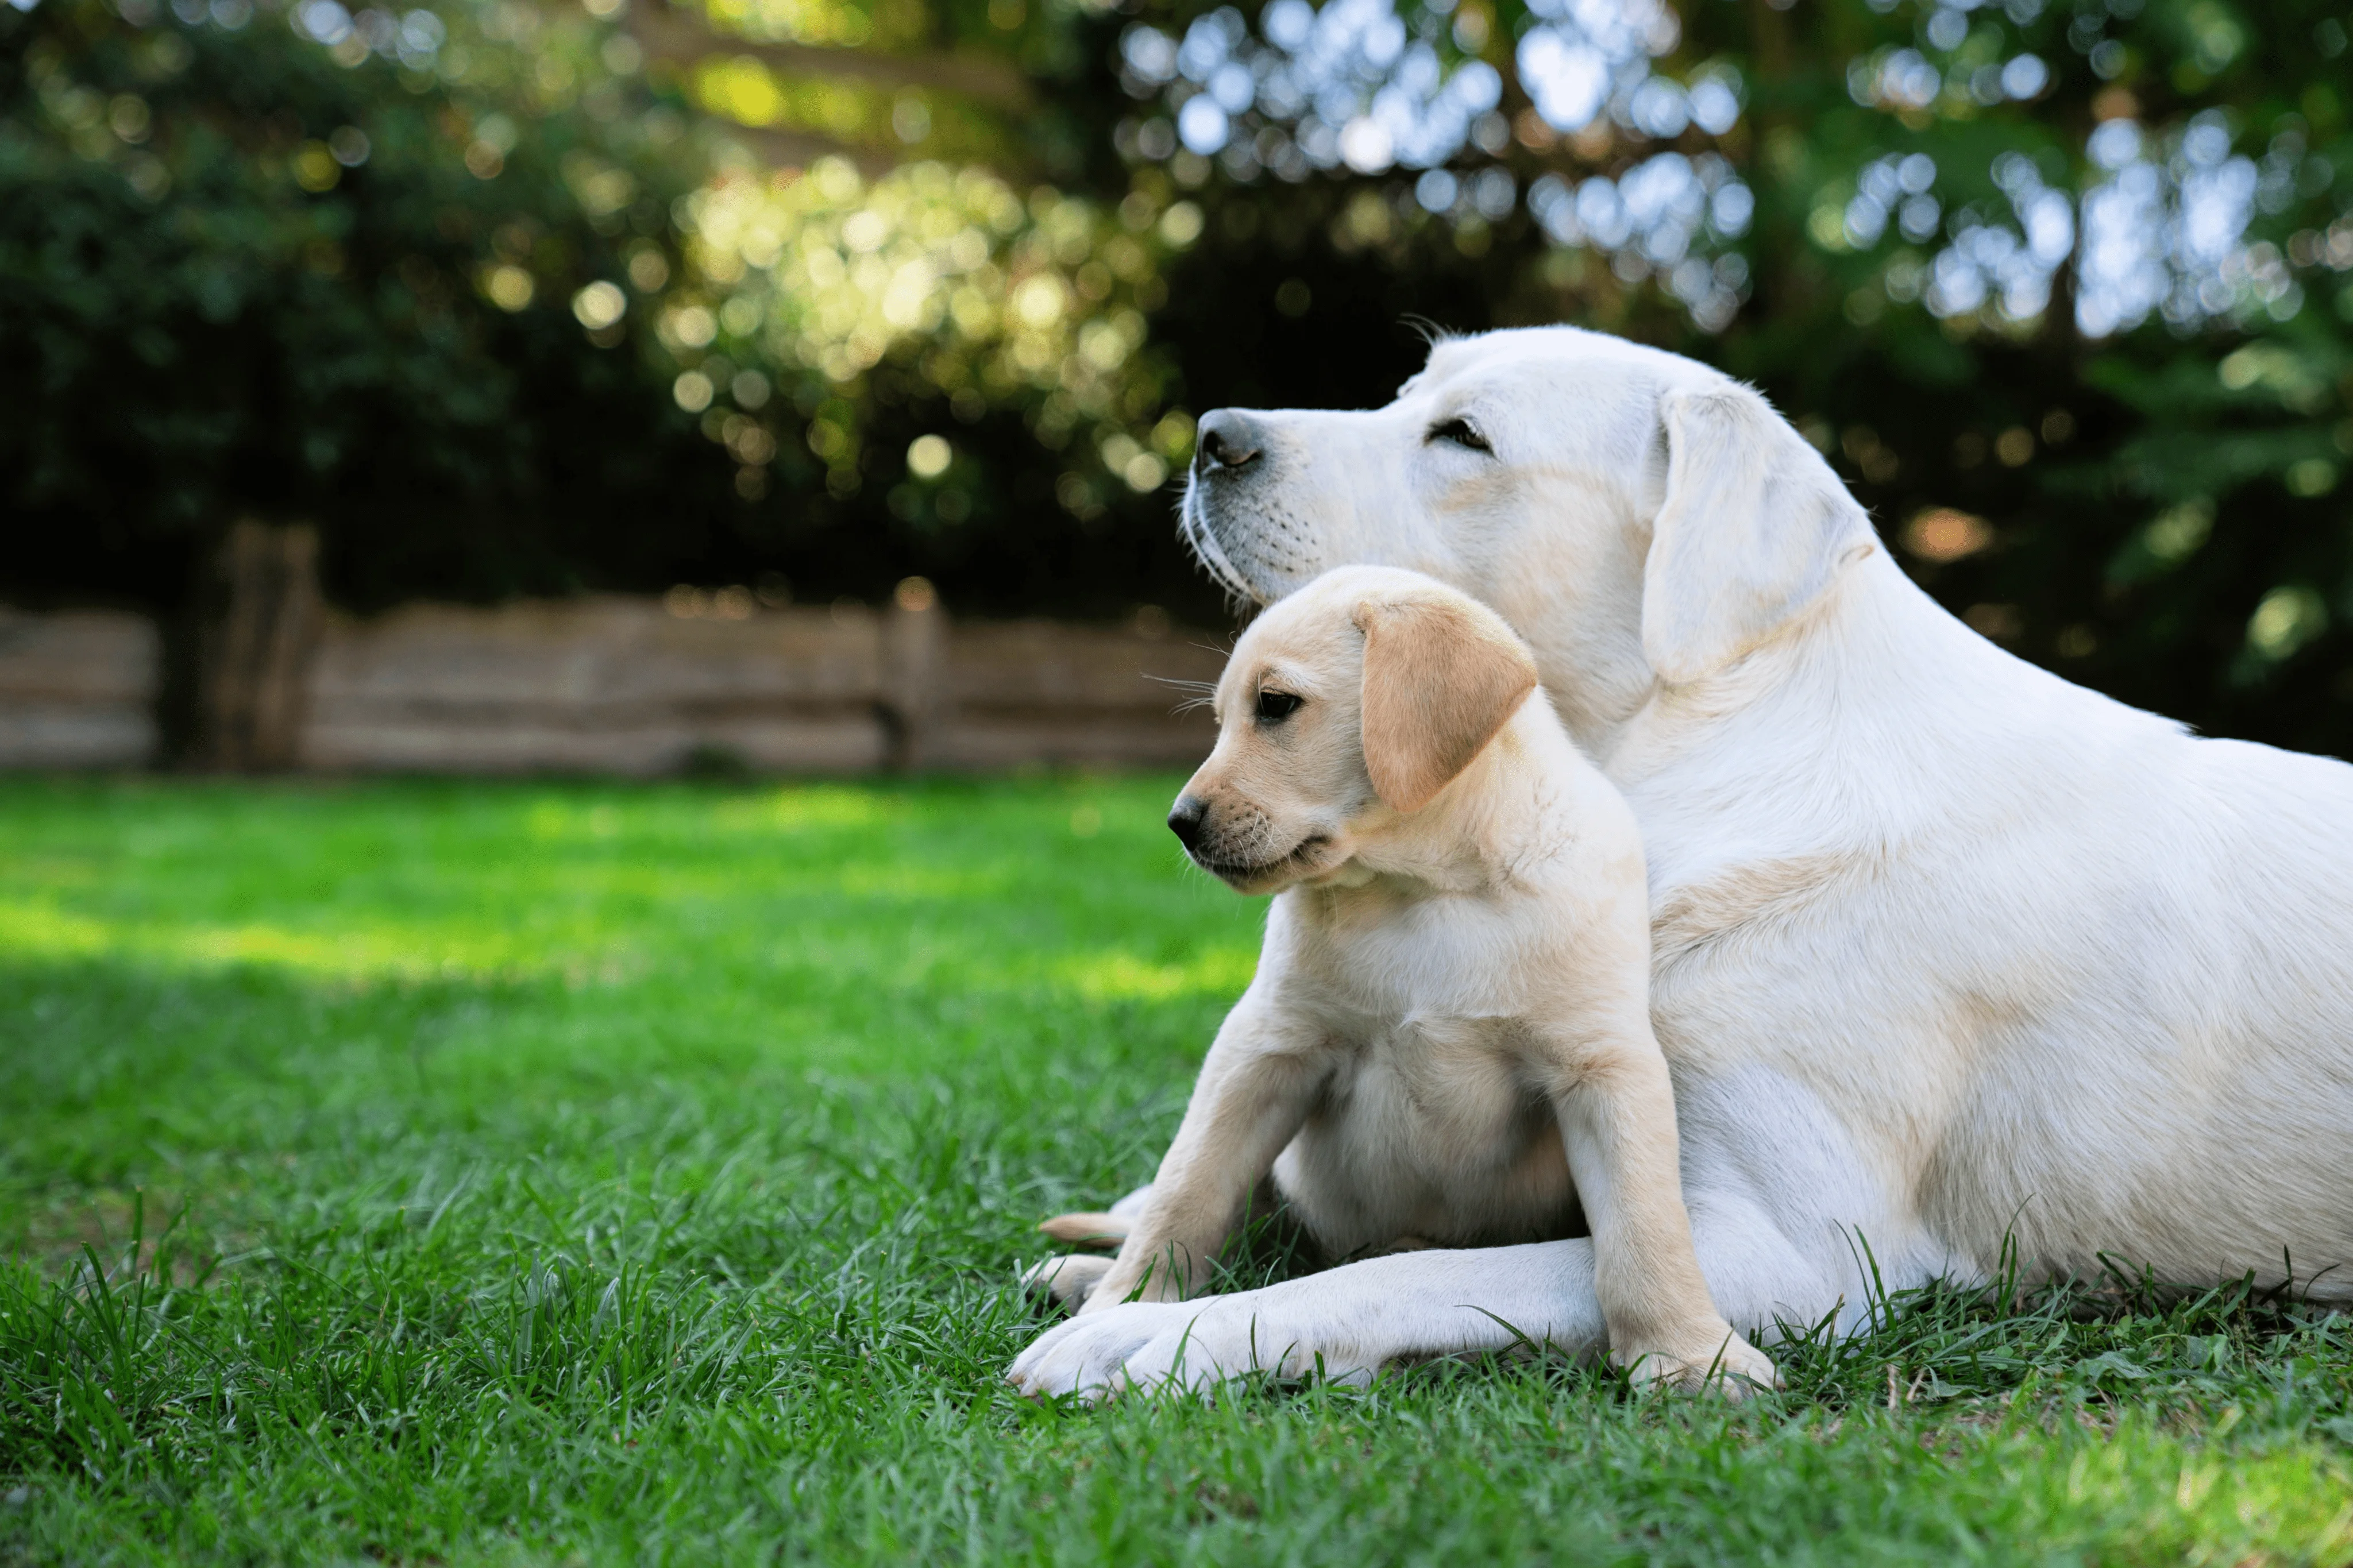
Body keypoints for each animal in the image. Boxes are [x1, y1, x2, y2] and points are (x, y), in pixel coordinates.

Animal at [1021, 566, 1769, 1401]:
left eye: (1274, 705)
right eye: (1221, 718)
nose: (1181, 822)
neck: (1426, 888)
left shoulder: (1604, 1065)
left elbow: (1646, 1223)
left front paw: (1688, 1352)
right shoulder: (1264, 1048)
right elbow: (1187, 1191)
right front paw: (1122, 1308)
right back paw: (1082, 1274)